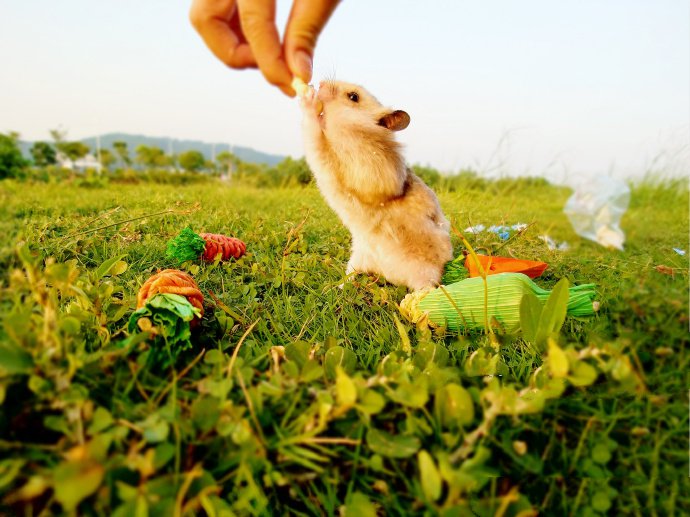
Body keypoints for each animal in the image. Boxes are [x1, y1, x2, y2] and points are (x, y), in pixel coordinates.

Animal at [296, 80, 452, 290]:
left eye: (353, 96)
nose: (320, 83)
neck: (356, 134)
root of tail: (391, 275)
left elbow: (317, 139)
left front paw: (309, 97)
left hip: (425, 271)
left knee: (427, 286)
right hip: (358, 256)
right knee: (350, 276)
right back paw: (335, 288)